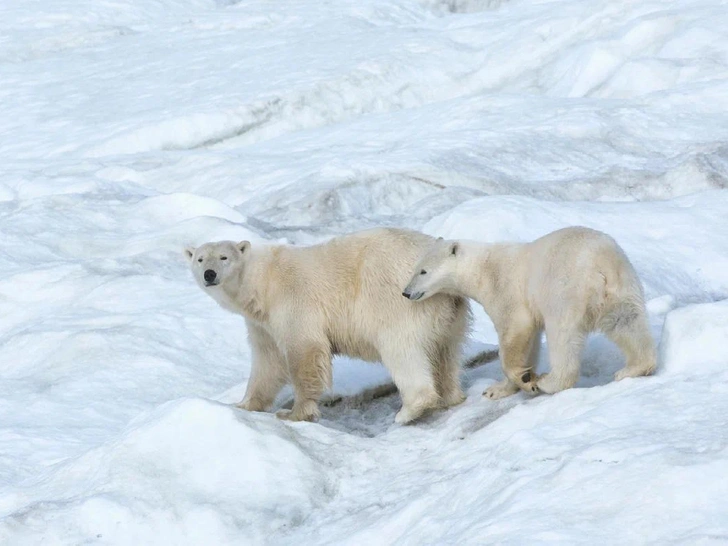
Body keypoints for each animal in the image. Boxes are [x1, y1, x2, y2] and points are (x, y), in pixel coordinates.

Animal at [185, 227, 470, 422]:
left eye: (224, 257)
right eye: (200, 258)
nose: (209, 274)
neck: (262, 282)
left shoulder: (293, 301)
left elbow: (305, 351)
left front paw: (294, 413)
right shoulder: (261, 323)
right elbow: (268, 361)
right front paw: (244, 404)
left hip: (399, 300)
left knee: (401, 350)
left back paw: (410, 410)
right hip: (449, 313)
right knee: (447, 351)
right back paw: (452, 396)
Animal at [400, 223, 656, 398]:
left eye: (423, 271)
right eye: (414, 269)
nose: (406, 292)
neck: (483, 269)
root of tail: (602, 265)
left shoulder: (505, 290)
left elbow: (514, 330)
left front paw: (525, 379)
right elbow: (530, 341)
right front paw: (499, 389)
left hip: (564, 290)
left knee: (563, 337)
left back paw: (550, 381)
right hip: (622, 286)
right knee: (627, 322)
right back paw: (635, 367)